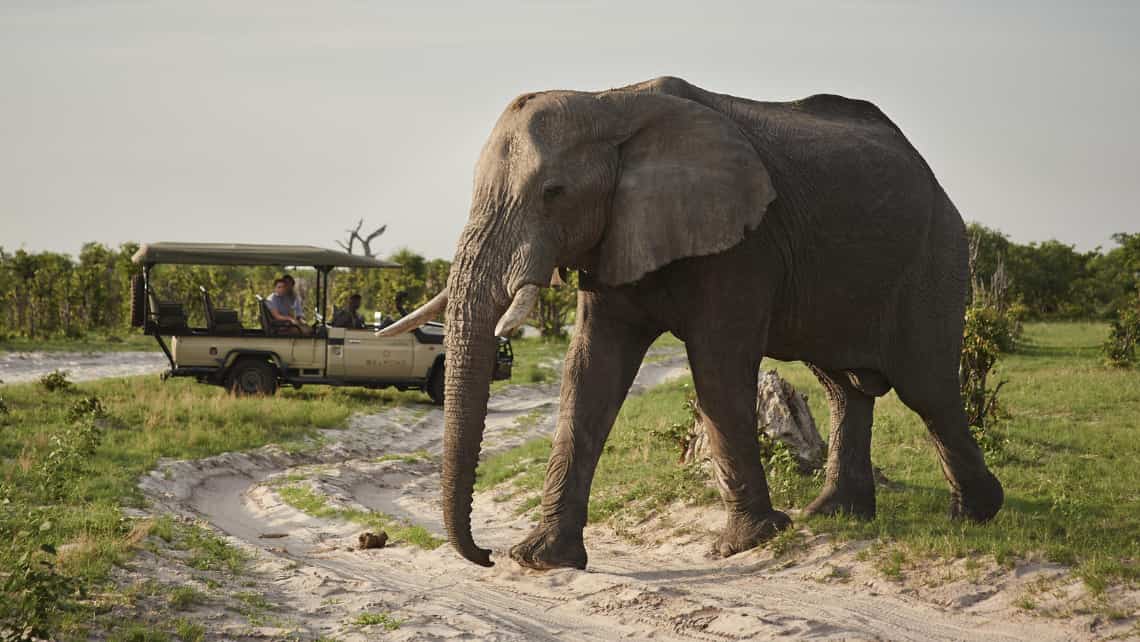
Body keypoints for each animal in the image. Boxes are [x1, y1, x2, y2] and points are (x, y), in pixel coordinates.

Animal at [385, 76, 1007, 572]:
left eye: (553, 193)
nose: (486, 555)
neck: (609, 102)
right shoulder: (616, 235)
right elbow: (590, 369)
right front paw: (542, 559)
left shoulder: (743, 242)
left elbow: (718, 368)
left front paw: (746, 545)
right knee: (844, 386)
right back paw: (835, 515)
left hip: (937, 255)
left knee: (926, 387)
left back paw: (975, 515)